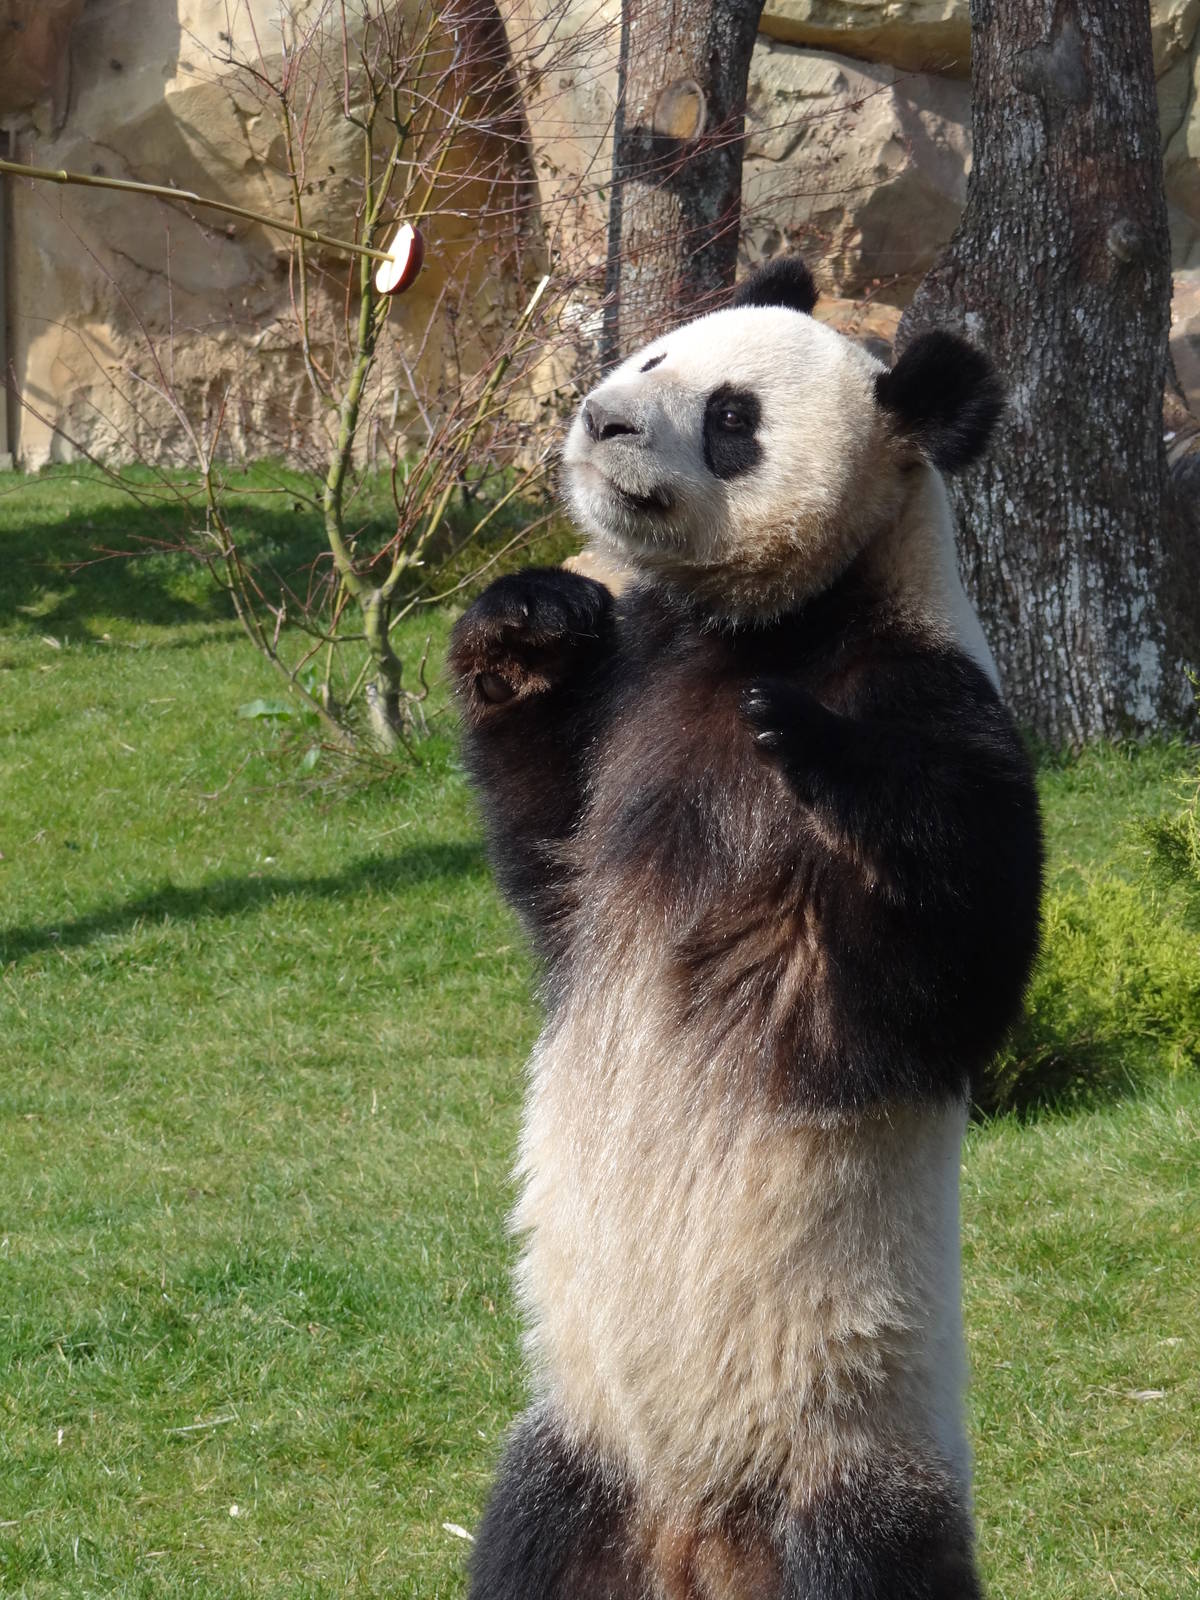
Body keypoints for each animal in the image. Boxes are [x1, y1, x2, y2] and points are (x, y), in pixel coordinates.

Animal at [448, 255, 1043, 1600]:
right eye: (653, 356)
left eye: (733, 418)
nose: (603, 418)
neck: (765, 627)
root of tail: (697, 1537)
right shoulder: (629, 722)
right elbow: (545, 855)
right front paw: (528, 619)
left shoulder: (937, 691)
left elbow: (958, 970)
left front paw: (822, 749)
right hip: (578, 1448)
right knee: (529, 1541)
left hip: (850, 1452)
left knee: (871, 1558)